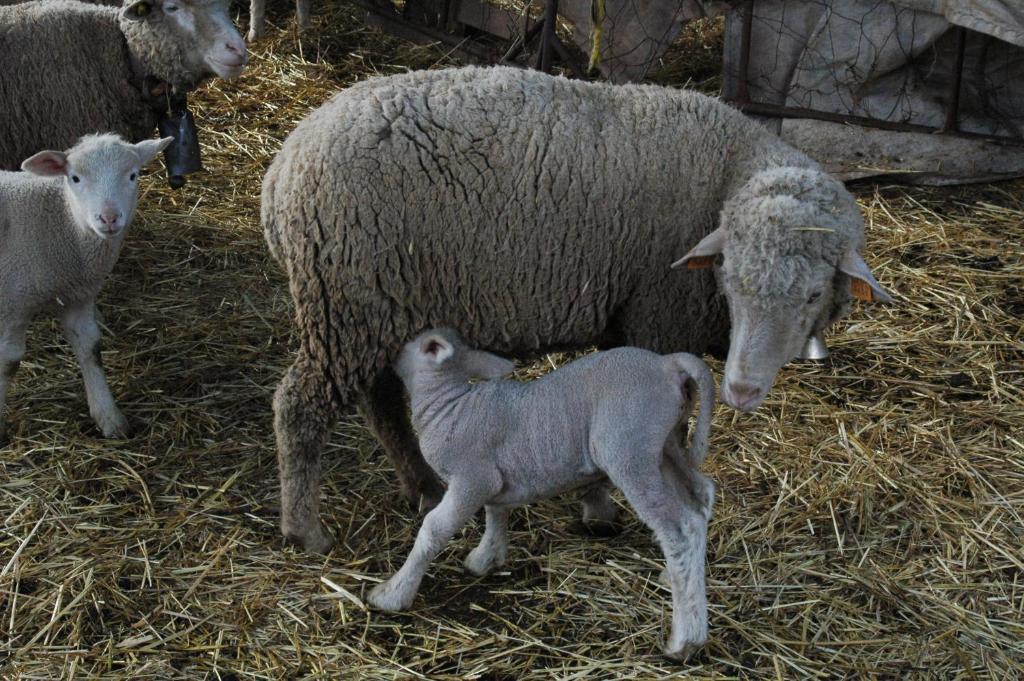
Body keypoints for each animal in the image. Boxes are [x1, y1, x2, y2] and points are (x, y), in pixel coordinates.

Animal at [0, 133, 172, 440]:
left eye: (133, 175)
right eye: (75, 178)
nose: (109, 218)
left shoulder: (78, 296)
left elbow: (90, 347)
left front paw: (109, 417)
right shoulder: (13, 303)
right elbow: (9, 362)